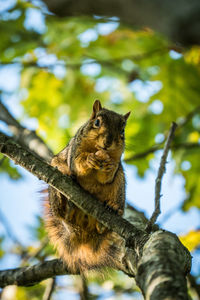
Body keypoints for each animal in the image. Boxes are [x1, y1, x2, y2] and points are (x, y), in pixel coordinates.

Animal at [44, 99, 130, 274]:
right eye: (97, 122)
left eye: (122, 130)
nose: (108, 143)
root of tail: (80, 235)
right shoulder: (75, 151)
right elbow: (78, 164)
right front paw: (88, 159)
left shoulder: (117, 162)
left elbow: (107, 177)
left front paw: (109, 166)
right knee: (61, 214)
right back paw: (66, 205)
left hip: (120, 184)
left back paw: (111, 211)